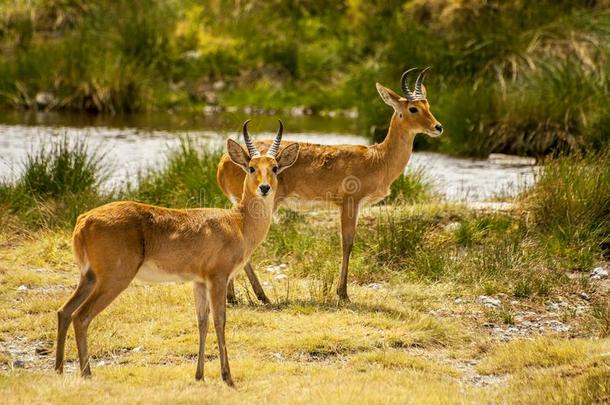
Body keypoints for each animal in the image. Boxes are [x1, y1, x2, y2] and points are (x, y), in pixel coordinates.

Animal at [55, 120, 298, 386]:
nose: (264, 188)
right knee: (81, 316)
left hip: (89, 277)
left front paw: (199, 375)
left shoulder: (199, 282)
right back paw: (86, 373)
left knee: (64, 311)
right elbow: (219, 321)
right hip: (113, 279)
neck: (238, 223)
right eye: (252, 167)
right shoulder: (218, 278)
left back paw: (58, 369)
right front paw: (227, 377)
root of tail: (83, 220)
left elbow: (202, 322)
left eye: (274, 167)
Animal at [217, 67, 442, 300]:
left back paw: (233, 296)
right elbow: (347, 243)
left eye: (428, 105)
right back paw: (259, 295)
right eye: (413, 108)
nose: (438, 127)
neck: (377, 158)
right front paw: (342, 293)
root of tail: (223, 161)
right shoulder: (350, 203)